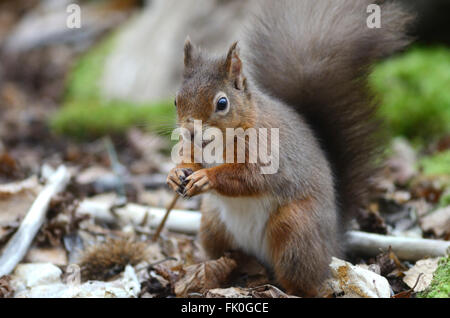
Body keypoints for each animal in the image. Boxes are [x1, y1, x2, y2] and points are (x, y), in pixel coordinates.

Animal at [167, 0, 414, 298]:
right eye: (176, 100)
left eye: (222, 103)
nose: (190, 132)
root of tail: (333, 243)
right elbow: (189, 159)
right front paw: (176, 173)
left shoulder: (270, 156)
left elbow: (250, 177)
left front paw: (207, 177)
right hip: (212, 224)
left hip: (294, 229)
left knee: (303, 279)